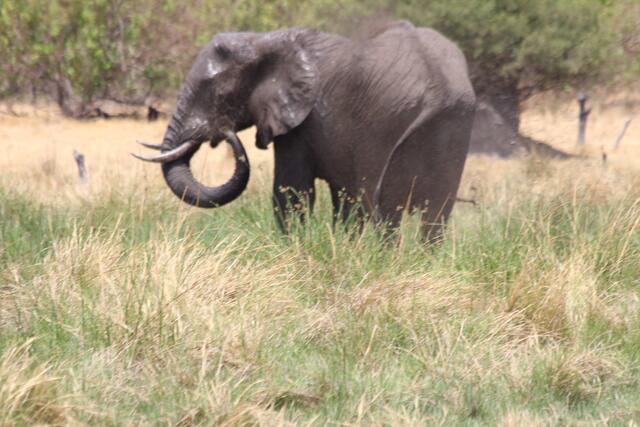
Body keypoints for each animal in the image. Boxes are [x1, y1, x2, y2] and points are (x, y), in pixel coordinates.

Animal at [134, 21, 476, 241]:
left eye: (217, 91)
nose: (222, 132)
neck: (265, 40)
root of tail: (439, 88)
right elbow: (341, 200)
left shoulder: (302, 122)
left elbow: (292, 192)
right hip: (454, 124)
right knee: (435, 214)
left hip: (385, 121)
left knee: (384, 208)